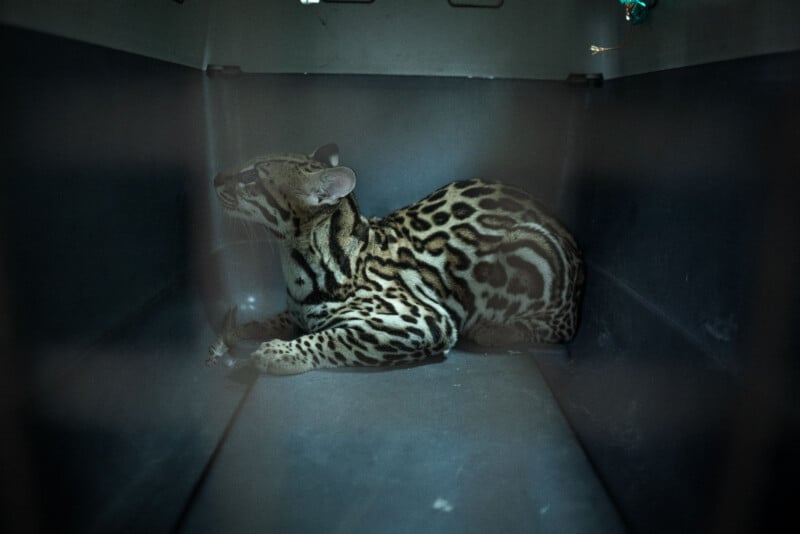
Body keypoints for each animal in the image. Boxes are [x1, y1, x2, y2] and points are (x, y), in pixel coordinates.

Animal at [208, 144, 580, 374]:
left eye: (251, 177)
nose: (215, 178)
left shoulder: (423, 320)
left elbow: (335, 337)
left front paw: (281, 353)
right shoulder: (296, 312)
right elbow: (269, 321)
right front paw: (233, 334)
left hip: (529, 250)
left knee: (557, 328)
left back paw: (498, 330)